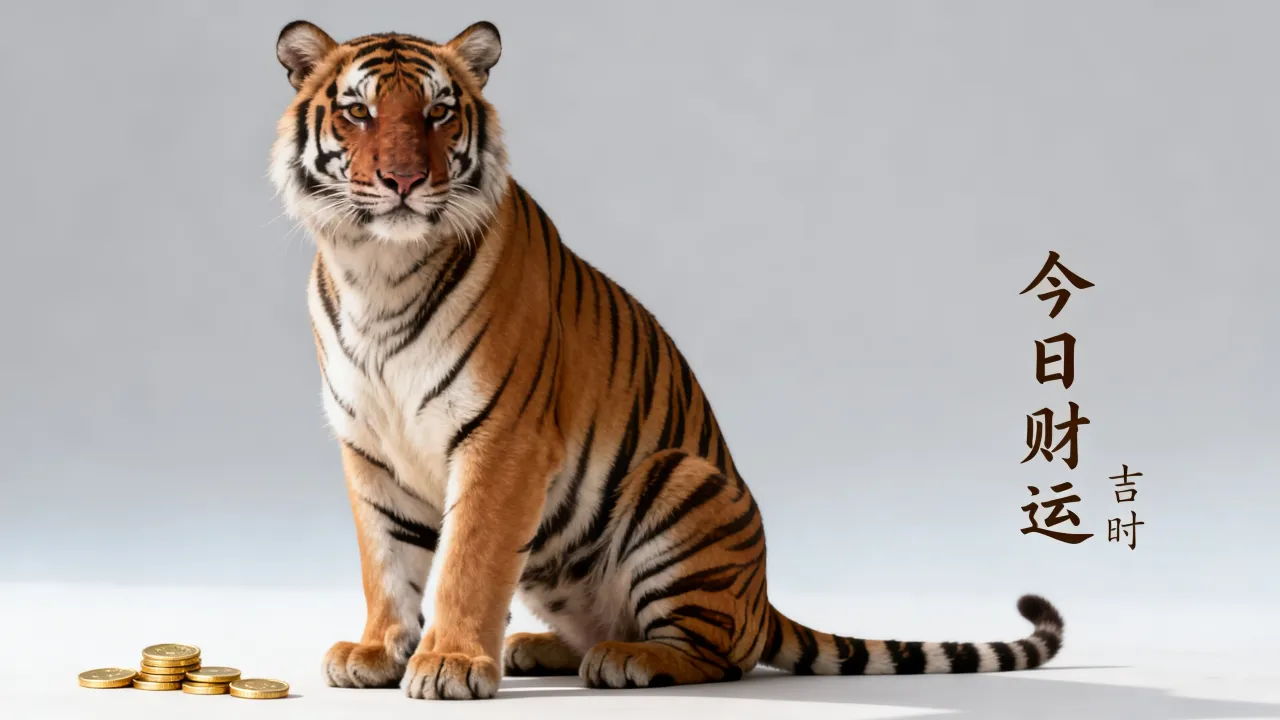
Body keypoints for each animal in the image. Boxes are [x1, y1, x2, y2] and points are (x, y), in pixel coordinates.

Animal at [267, 19, 1066, 701]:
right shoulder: (369, 446)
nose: (403, 180)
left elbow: (468, 560)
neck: (378, 270)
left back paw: (626, 659)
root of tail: (762, 600)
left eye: (437, 114)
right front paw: (378, 650)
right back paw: (538, 647)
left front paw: (450, 663)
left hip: (680, 484)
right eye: (359, 113)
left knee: (720, 655)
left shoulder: (502, 439)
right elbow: (386, 560)